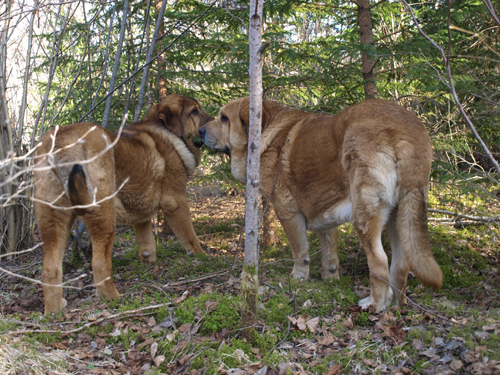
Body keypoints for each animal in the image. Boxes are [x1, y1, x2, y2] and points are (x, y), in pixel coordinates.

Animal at [34, 93, 212, 314]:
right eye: (194, 111)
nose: (214, 121)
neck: (168, 132)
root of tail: (62, 142)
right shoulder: (176, 201)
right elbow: (190, 236)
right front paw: (202, 256)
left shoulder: (142, 214)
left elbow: (147, 244)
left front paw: (149, 264)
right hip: (104, 215)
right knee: (99, 264)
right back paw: (114, 299)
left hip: (53, 221)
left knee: (50, 269)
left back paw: (54, 310)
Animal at [199, 98, 442, 312]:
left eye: (224, 118)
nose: (200, 130)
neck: (267, 130)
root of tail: (406, 130)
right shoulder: (326, 213)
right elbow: (329, 252)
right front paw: (330, 279)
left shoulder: (287, 212)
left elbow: (300, 251)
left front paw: (298, 278)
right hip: (400, 215)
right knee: (400, 265)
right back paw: (396, 305)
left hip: (364, 214)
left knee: (379, 262)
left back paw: (375, 304)